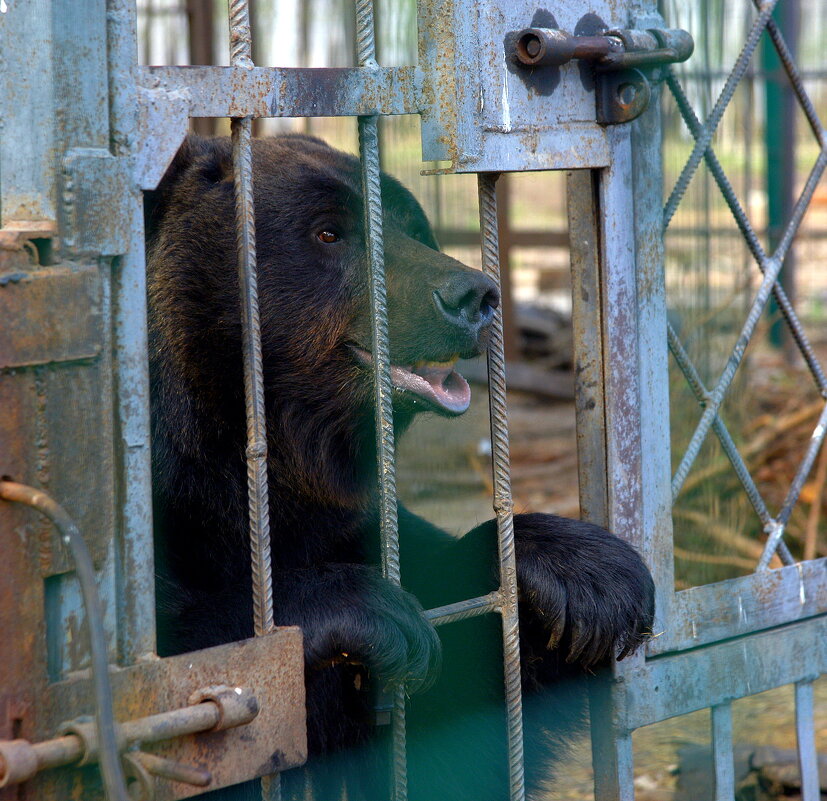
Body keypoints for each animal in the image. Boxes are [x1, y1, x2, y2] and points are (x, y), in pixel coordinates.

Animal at [147, 134, 652, 796]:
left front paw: (587, 576)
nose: (473, 295)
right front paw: (368, 611)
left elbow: (453, 726)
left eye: (412, 225)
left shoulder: (344, 517)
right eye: (329, 232)